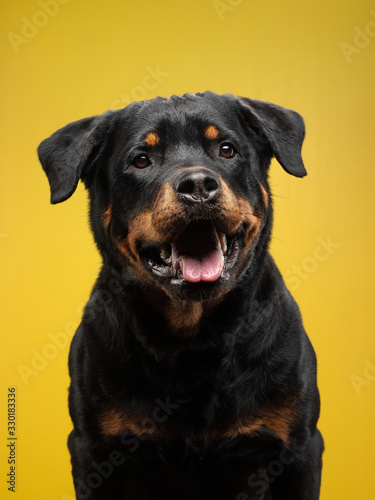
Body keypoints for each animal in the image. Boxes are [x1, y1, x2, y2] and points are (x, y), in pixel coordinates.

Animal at [39, 92, 324, 498]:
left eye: (226, 149)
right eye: (141, 159)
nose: (199, 184)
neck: (193, 338)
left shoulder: (298, 448)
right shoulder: (94, 450)